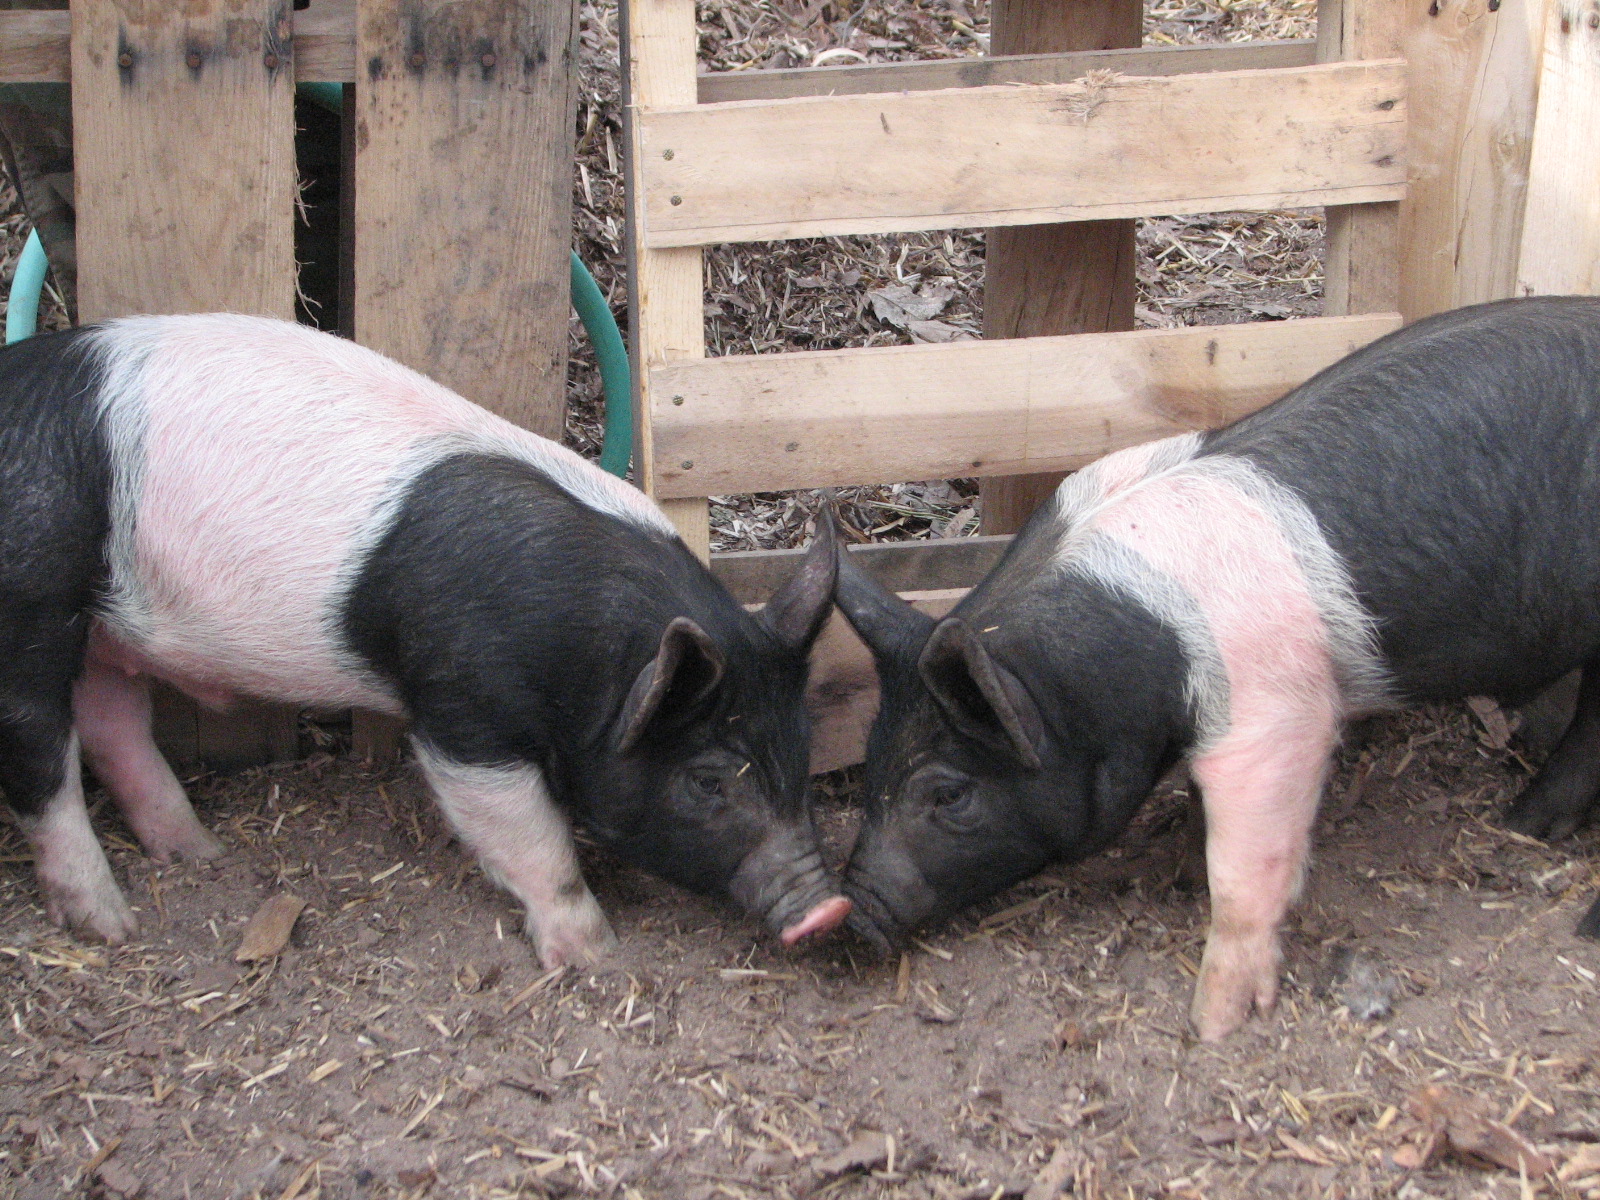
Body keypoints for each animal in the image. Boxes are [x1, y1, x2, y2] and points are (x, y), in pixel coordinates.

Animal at [0, 313, 851, 963]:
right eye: (708, 780)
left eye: (801, 750)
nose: (829, 909)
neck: (590, 653)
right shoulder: (463, 709)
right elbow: (529, 834)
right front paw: (592, 955)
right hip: (30, 596)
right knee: (40, 750)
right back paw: (111, 924)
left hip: (104, 624)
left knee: (111, 721)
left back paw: (196, 852)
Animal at [834, 295, 1600, 1040]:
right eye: (871, 764)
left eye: (948, 793)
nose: (853, 915)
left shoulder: (1274, 713)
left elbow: (1243, 862)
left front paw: (1212, 1023)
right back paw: (1525, 826)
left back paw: (1546, 863)